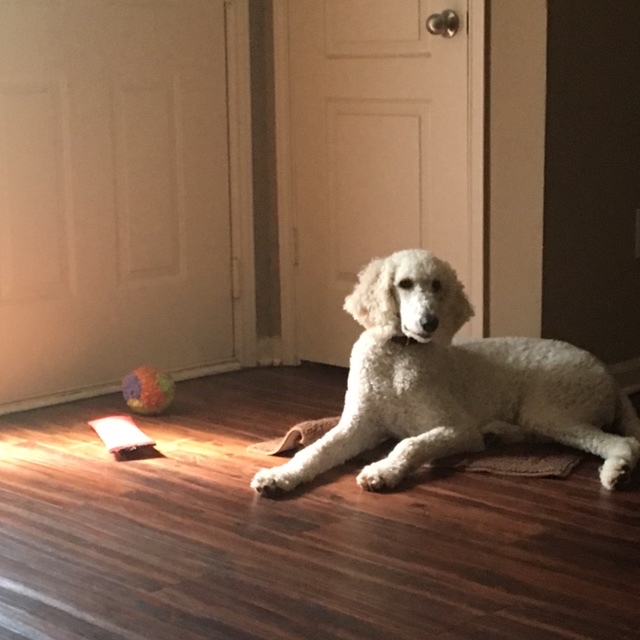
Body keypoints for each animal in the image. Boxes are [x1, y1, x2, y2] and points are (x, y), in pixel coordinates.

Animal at [251, 249, 640, 496]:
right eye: (404, 283)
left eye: (438, 285)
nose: (430, 323)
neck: (399, 354)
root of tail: (608, 373)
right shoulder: (359, 425)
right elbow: (314, 451)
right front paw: (280, 476)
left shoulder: (457, 428)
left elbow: (409, 443)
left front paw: (382, 471)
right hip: (544, 416)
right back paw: (499, 433)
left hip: (551, 408)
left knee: (623, 442)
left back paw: (617, 472)